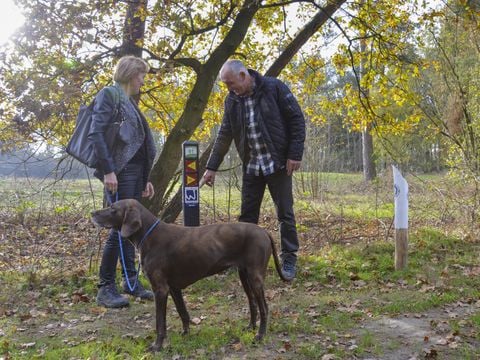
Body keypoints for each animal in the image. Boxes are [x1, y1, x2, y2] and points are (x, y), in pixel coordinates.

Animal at [92, 198, 286, 350]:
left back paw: (260, 335)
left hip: (255, 276)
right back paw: (250, 327)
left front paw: (157, 346)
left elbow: (160, 323)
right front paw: (186, 333)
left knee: (264, 307)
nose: (92, 213)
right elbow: (183, 312)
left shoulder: (160, 289)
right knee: (252, 303)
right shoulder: (173, 288)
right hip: (244, 275)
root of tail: (264, 231)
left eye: (113, 208)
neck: (149, 235)